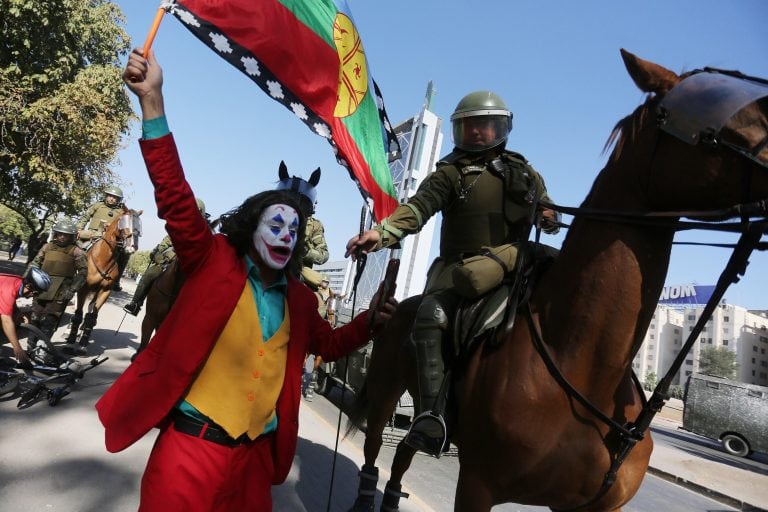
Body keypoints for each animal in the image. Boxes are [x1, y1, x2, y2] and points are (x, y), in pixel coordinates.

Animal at [66, 208, 141, 348]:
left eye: (139, 226)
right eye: (123, 223)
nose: (132, 247)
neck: (103, 259)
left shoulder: (105, 291)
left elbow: (92, 316)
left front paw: (83, 342)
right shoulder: (83, 288)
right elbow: (78, 313)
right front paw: (71, 338)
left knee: (90, 307)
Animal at [346, 50, 768, 510]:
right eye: (711, 107)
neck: (587, 369)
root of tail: (394, 307)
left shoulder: (592, 504)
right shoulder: (477, 486)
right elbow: (420, 205)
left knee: (404, 451)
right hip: (386, 388)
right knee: (376, 443)